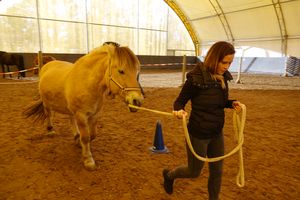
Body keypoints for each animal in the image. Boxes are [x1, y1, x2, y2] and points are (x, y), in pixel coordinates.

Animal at [24, 42, 144, 170]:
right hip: (46, 103)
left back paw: (76, 135)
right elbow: (86, 137)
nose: (137, 101)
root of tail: (48, 64)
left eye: (137, 72)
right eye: (121, 71)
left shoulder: (95, 115)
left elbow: (92, 135)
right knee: (49, 115)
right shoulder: (81, 115)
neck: (88, 83)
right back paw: (50, 130)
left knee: (70, 118)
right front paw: (88, 159)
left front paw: (80, 144)